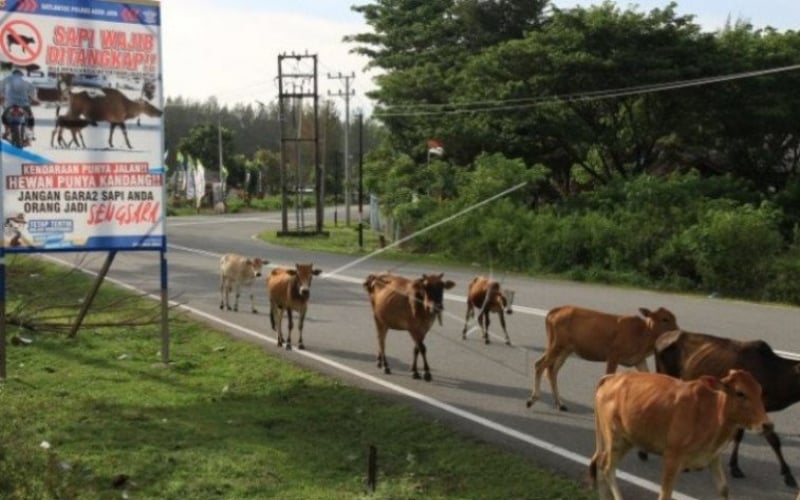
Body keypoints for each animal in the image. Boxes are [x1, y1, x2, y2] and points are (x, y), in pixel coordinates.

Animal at [528, 304, 680, 410]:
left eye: (674, 317)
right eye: (665, 319)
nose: (678, 331)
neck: (643, 335)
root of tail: (555, 311)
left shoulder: (639, 360)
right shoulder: (613, 354)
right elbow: (607, 377)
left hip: (565, 350)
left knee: (551, 370)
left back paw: (560, 404)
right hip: (557, 345)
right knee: (540, 365)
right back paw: (532, 399)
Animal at [592, 370, 772, 500]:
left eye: (760, 391)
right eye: (740, 393)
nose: (767, 425)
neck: (712, 413)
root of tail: (611, 378)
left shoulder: (713, 457)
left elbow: (723, 489)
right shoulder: (672, 457)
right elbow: (665, 494)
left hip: (627, 440)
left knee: (602, 465)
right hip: (614, 438)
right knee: (607, 468)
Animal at [652, 330, 800, 486]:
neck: (775, 374)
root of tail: (661, 337)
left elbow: (740, 435)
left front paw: (734, 466)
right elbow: (773, 439)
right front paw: (788, 474)